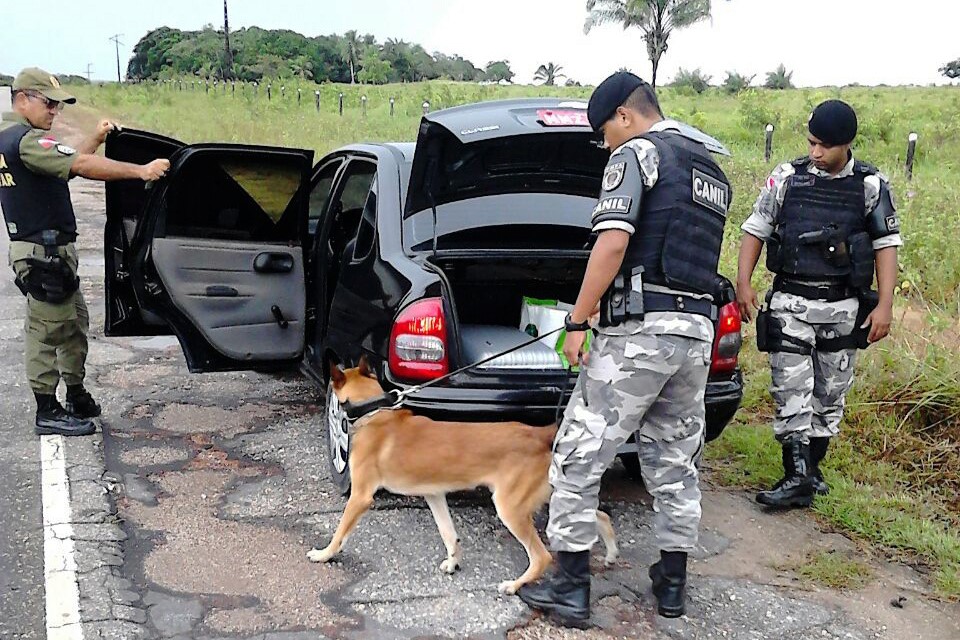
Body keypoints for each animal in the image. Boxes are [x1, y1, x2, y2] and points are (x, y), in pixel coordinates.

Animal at [310, 358, 624, 592]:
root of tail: (539, 433)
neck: (374, 411)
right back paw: (610, 552)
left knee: (542, 557)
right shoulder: (435, 495)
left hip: (510, 508)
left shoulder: (361, 497)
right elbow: (449, 534)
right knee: (599, 515)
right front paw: (453, 563)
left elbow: (339, 533)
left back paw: (514, 585)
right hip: (548, 491)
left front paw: (325, 554)